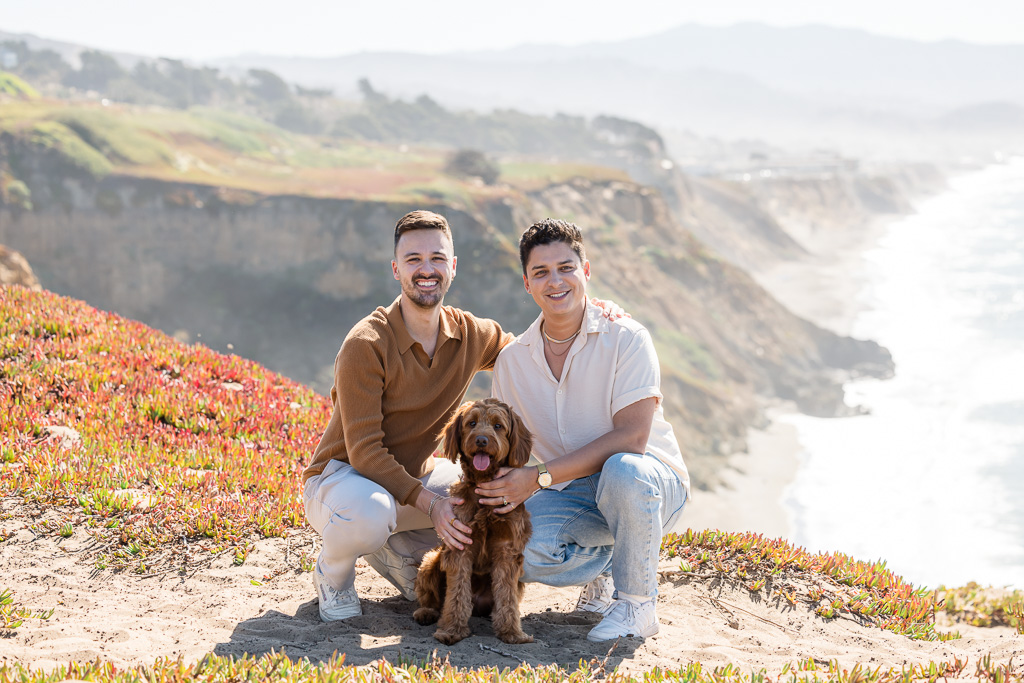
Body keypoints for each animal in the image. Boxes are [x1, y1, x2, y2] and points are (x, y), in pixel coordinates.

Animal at [411, 397, 536, 643]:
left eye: (498, 426)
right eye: (472, 423)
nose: (481, 440)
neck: (482, 485)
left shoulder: (507, 550)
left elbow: (506, 597)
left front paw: (512, 632)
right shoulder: (460, 546)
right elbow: (457, 594)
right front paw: (452, 630)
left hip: (519, 581)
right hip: (431, 560)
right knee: (434, 599)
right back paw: (426, 612)